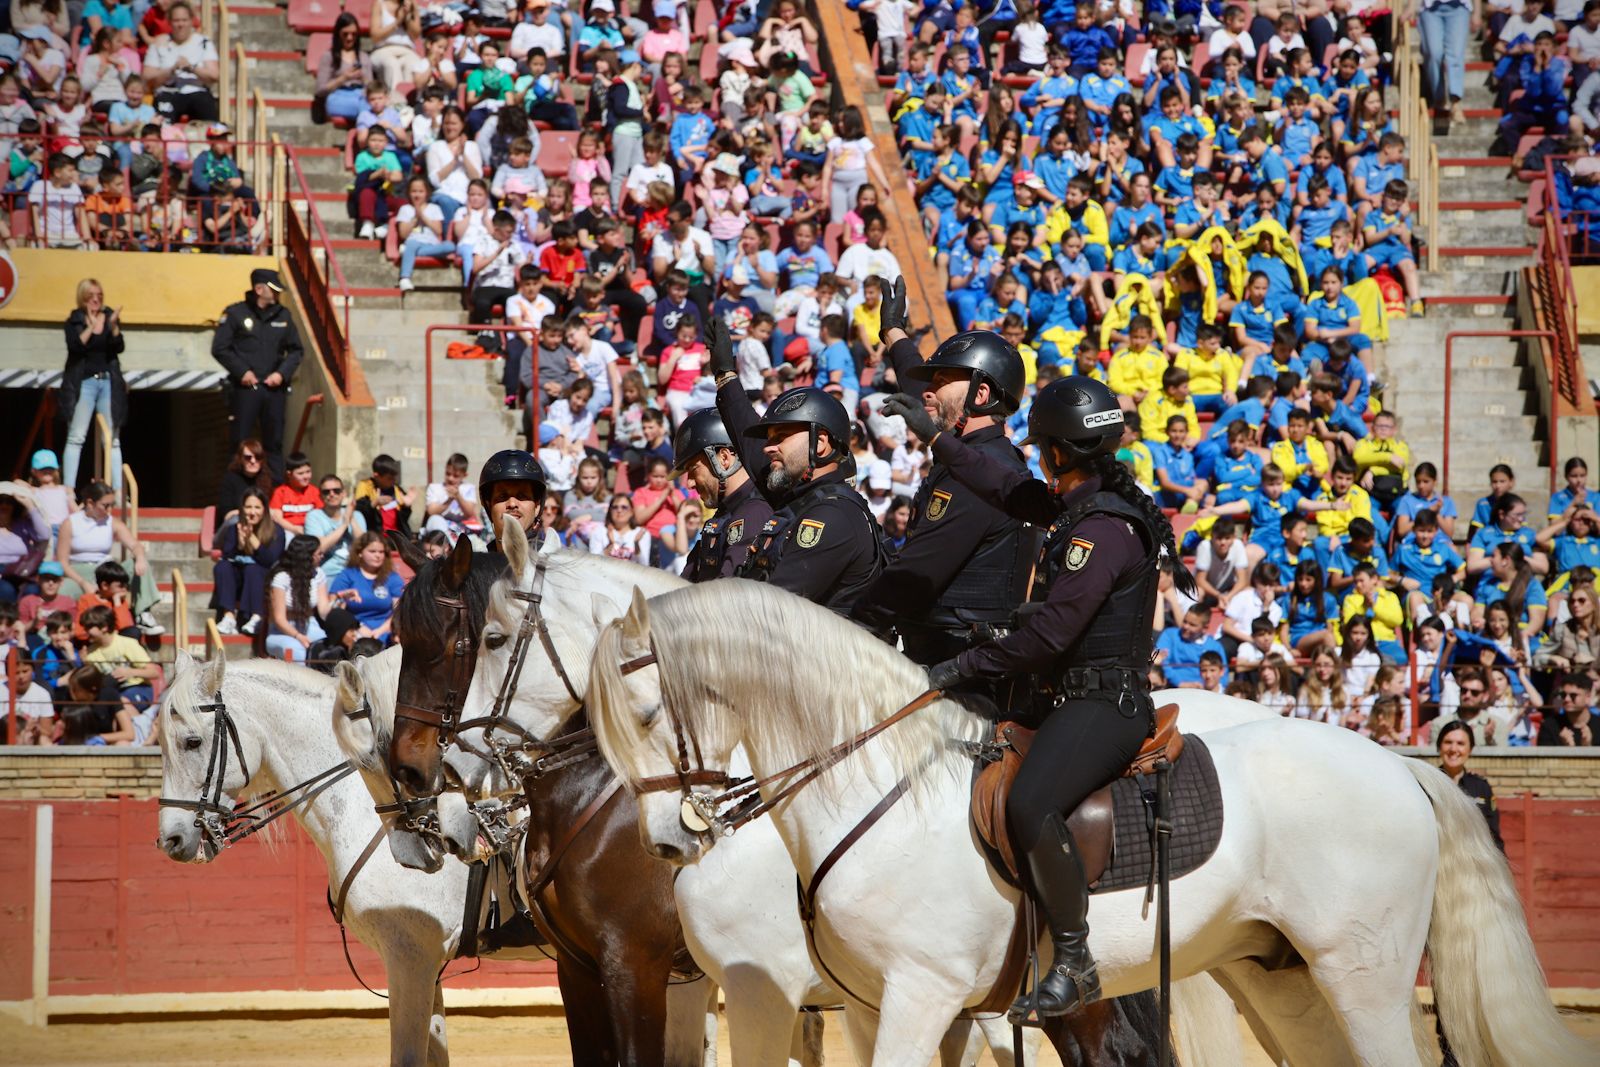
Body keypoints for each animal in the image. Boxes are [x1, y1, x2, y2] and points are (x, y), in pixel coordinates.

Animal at [588, 579, 1600, 1067]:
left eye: (643, 710)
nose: (668, 841)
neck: (881, 784)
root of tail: (1406, 766)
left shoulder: (915, 994)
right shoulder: (892, 1006)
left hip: (1364, 973)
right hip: (1280, 977)